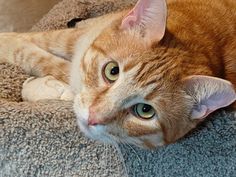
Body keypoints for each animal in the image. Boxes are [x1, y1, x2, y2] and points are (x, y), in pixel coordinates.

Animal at [0, 0, 235, 149]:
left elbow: (43, 61)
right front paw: (8, 37)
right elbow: (43, 39)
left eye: (145, 111)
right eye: (112, 71)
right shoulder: (77, 36)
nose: (93, 117)